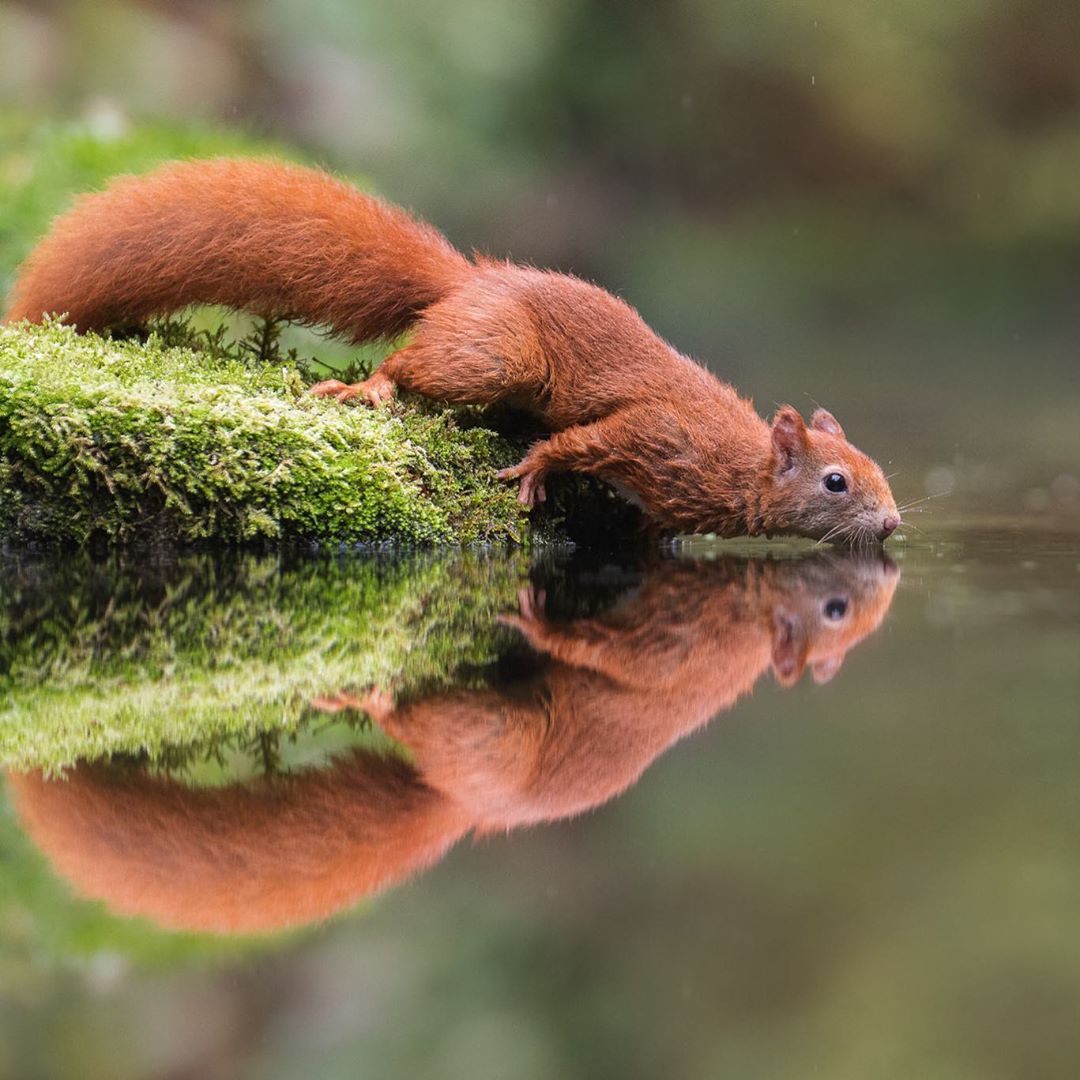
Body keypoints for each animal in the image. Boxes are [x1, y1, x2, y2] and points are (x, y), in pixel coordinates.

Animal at [6, 156, 902, 544]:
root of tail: (471, 283)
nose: (894, 522)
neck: (739, 466)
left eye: (877, 468)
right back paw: (370, 389)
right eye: (835, 481)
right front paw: (537, 470)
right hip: (496, 355)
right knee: (413, 364)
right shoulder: (659, 436)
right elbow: (585, 441)